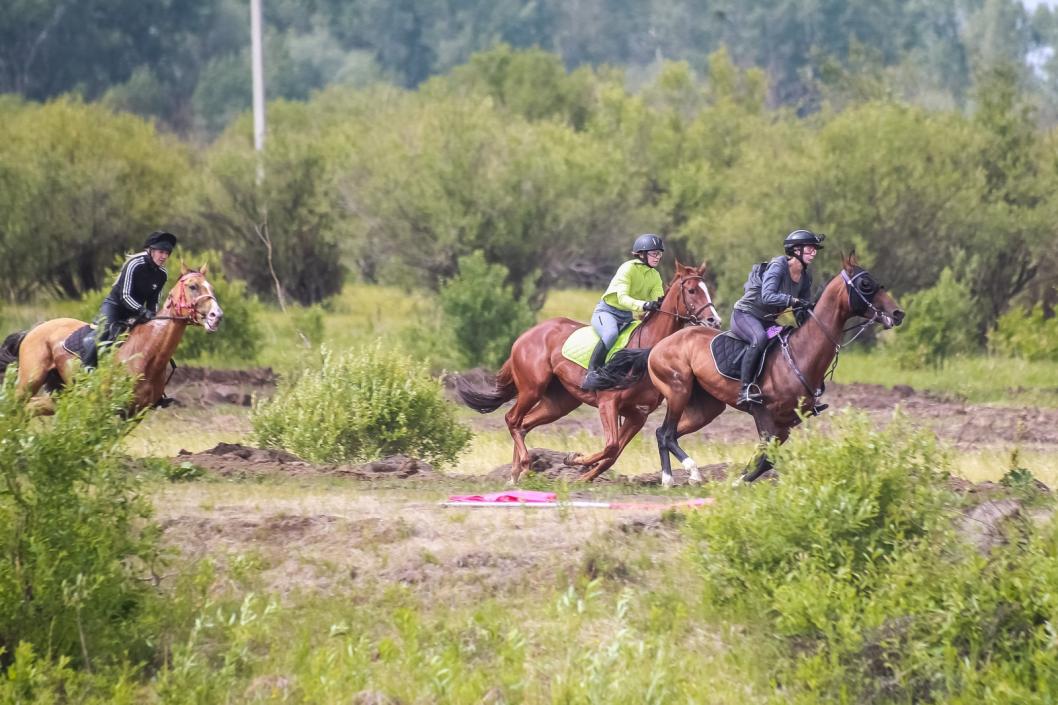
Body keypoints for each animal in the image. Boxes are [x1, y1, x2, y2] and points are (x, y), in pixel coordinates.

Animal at [0, 262, 223, 412]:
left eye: (211, 288)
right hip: (28, 382)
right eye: (193, 286)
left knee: (29, 409)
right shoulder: (109, 408)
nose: (217, 316)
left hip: (60, 393)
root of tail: (32, 331)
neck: (148, 354)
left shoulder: (134, 414)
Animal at [454, 259, 719, 482]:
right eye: (692, 290)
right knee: (512, 420)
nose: (713, 321)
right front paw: (574, 459)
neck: (644, 352)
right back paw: (525, 465)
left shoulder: (637, 414)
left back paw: (515, 474)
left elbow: (613, 453)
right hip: (532, 388)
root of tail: (524, 336)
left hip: (559, 403)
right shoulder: (608, 403)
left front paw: (583, 474)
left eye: (706, 289)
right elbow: (611, 446)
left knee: (523, 424)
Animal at [592, 249, 905, 486]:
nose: (898, 313)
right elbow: (767, 457)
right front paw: (736, 482)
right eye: (865, 285)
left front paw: (740, 479)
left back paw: (670, 478)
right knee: (666, 433)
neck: (802, 354)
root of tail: (658, 346)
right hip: (678, 390)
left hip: (706, 408)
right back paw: (689, 473)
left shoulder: (785, 425)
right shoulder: (763, 414)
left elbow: (767, 459)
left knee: (664, 433)